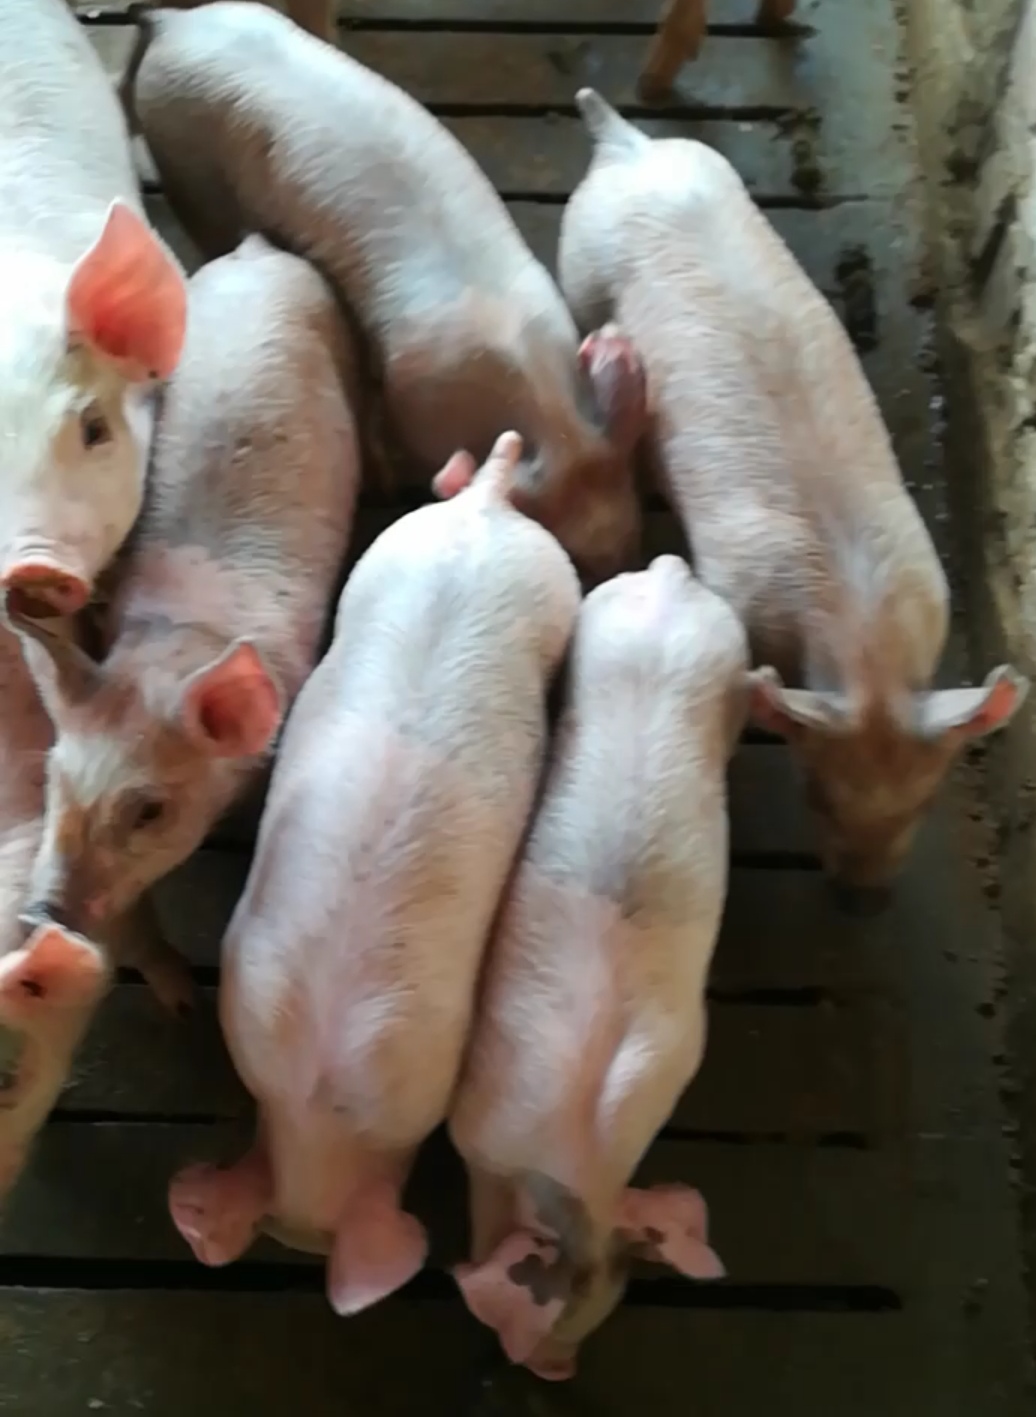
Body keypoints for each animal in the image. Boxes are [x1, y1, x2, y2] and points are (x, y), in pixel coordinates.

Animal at [122, 1, 648, 584]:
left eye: (632, 535)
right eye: (571, 559)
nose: (626, 568)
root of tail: (174, 23)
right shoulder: (408, 391)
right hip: (183, 164)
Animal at [558, 90, 1029, 910]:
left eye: (925, 802)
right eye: (816, 793)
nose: (864, 899)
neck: (865, 648)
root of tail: (627, 143)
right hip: (577, 266)